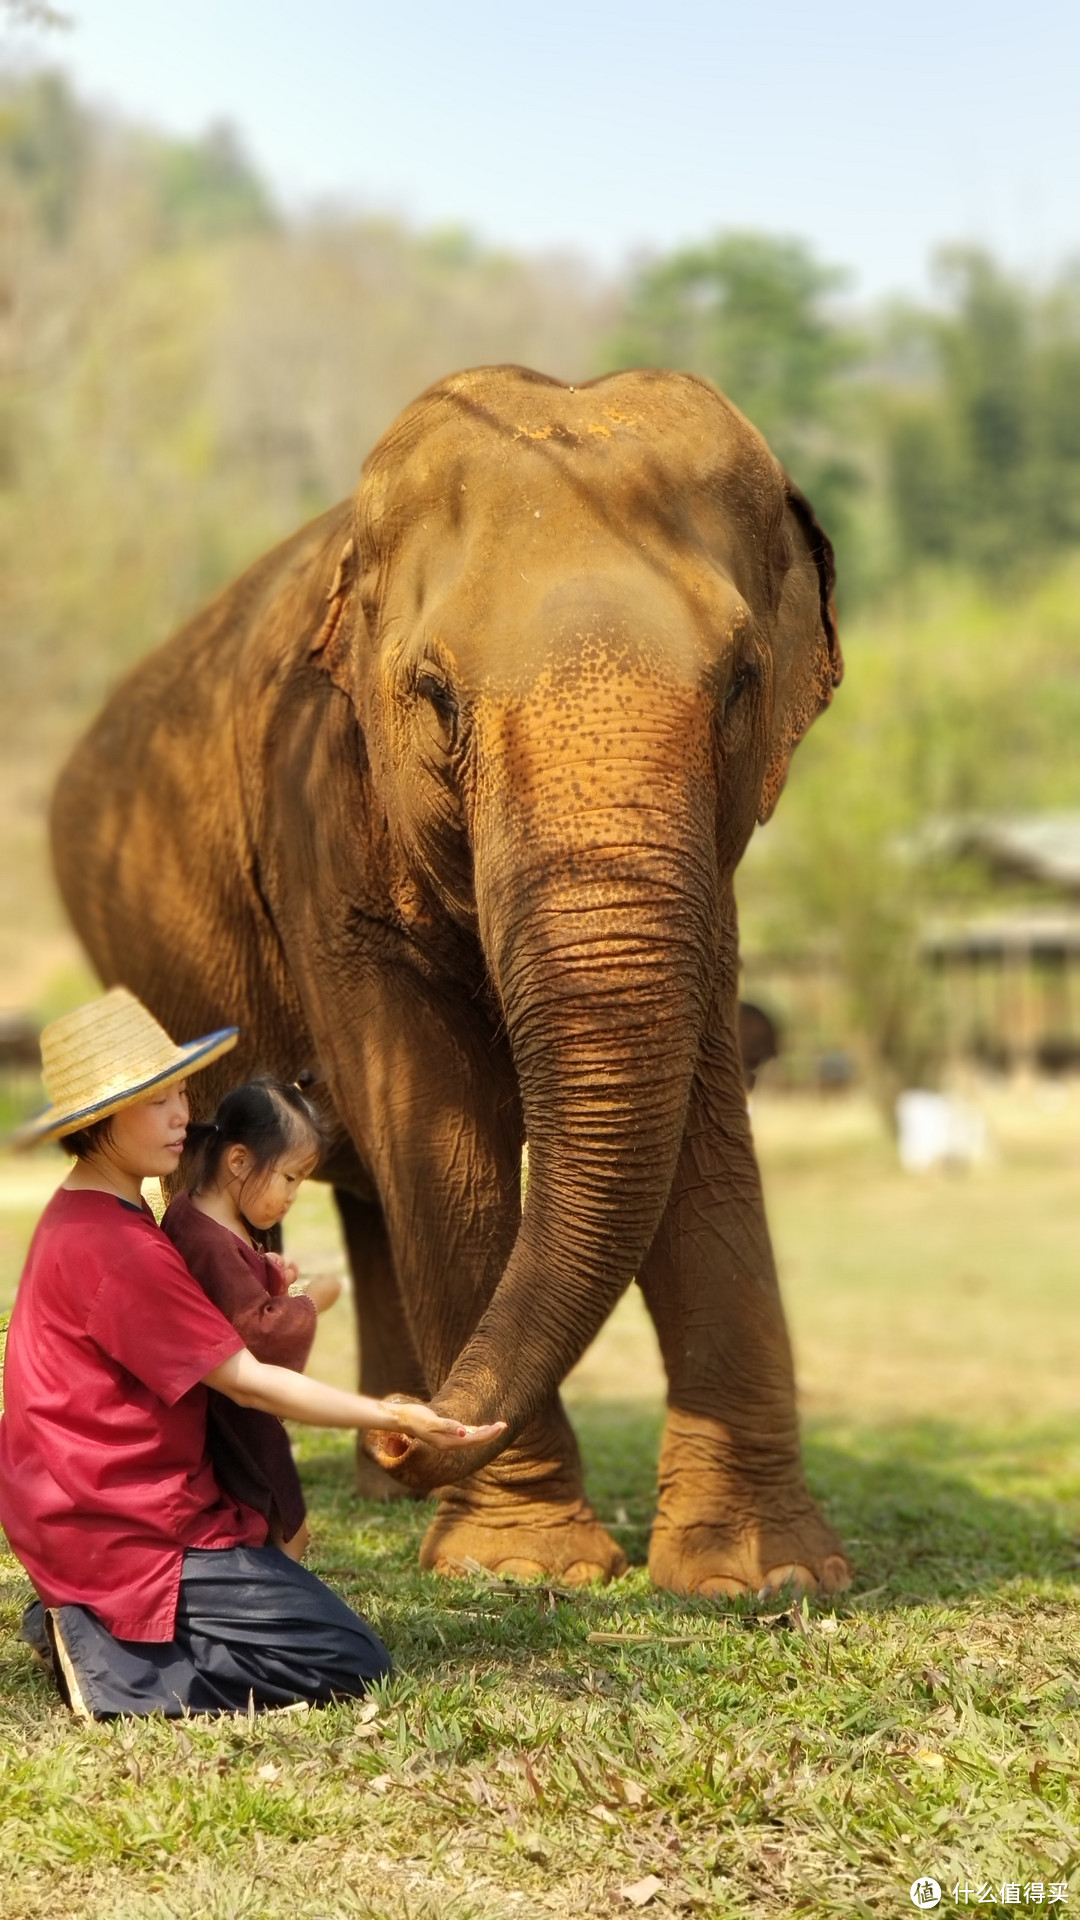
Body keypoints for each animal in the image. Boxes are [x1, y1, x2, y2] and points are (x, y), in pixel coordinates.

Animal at [52, 366, 849, 1597]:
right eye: (435, 696)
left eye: (740, 686)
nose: (409, 1429)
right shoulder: (320, 828)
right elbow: (449, 1141)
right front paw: (520, 1567)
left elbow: (708, 1141)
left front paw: (767, 1581)